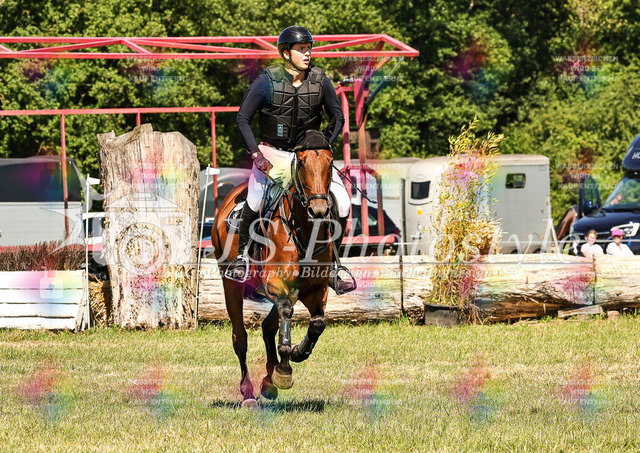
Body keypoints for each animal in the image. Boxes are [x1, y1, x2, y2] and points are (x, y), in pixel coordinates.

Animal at [211, 136, 336, 409]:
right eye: (301, 163)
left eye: (330, 163)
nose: (319, 210)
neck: (303, 230)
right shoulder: (275, 284)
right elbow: (286, 315)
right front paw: (284, 371)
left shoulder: (314, 288)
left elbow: (317, 323)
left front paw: (296, 354)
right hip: (231, 285)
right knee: (240, 337)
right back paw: (248, 392)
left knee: (268, 326)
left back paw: (268, 382)